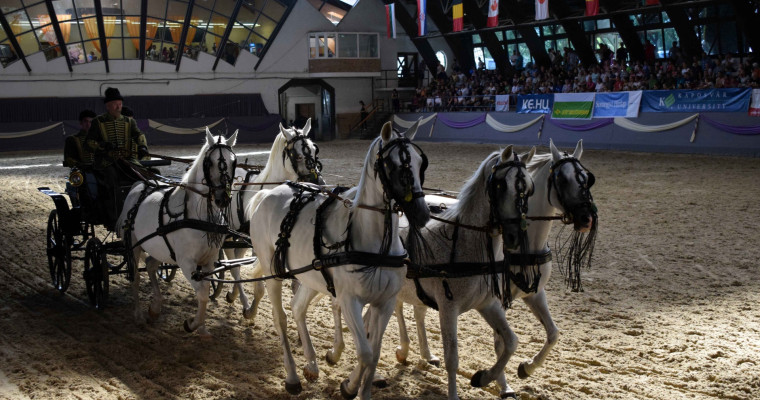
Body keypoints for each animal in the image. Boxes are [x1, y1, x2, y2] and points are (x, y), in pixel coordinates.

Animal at [118, 129, 238, 338]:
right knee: (136, 278)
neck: (198, 216)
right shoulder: (186, 261)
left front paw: (202, 328)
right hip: (133, 245)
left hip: (159, 248)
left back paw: (155, 308)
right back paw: (139, 316)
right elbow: (202, 292)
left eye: (233, 162)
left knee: (150, 265)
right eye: (210, 163)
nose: (223, 198)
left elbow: (206, 289)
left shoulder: (209, 260)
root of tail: (139, 186)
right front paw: (192, 324)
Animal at [223, 119, 324, 318]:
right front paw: (252, 309)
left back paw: (233, 293)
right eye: (297, 155)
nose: (320, 182)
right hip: (228, 233)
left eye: (314, 150)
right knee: (232, 264)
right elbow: (261, 282)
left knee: (235, 259)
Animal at [248, 120, 430, 398]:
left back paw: (311, 365)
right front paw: (349, 387)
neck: (373, 243)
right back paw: (292, 377)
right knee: (281, 318)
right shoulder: (349, 299)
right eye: (391, 164)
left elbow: (374, 353)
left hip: (311, 276)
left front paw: (359, 387)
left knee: (298, 307)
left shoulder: (385, 302)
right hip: (274, 273)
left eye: (421, 162)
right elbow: (364, 352)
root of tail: (267, 194)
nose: (421, 214)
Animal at [392, 138, 600, 396]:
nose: (587, 218)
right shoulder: (496, 298)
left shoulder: (532, 293)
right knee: (399, 306)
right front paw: (501, 384)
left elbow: (551, 334)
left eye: (587, 178)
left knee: (418, 310)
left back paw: (427, 355)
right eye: (562, 179)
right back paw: (404, 349)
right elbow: (499, 343)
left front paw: (523, 369)